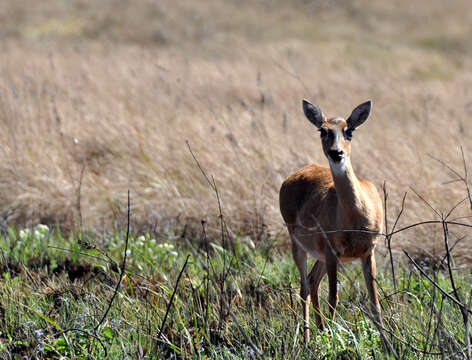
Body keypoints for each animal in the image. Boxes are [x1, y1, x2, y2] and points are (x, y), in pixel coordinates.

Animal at [280, 98, 384, 344]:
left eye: (349, 130)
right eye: (323, 131)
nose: (336, 153)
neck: (354, 217)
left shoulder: (368, 252)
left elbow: (375, 304)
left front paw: (389, 345)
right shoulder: (332, 251)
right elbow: (334, 299)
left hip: (322, 257)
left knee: (313, 283)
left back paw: (320, 332)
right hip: (300, 247)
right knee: (304, 288)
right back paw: (307, 340)